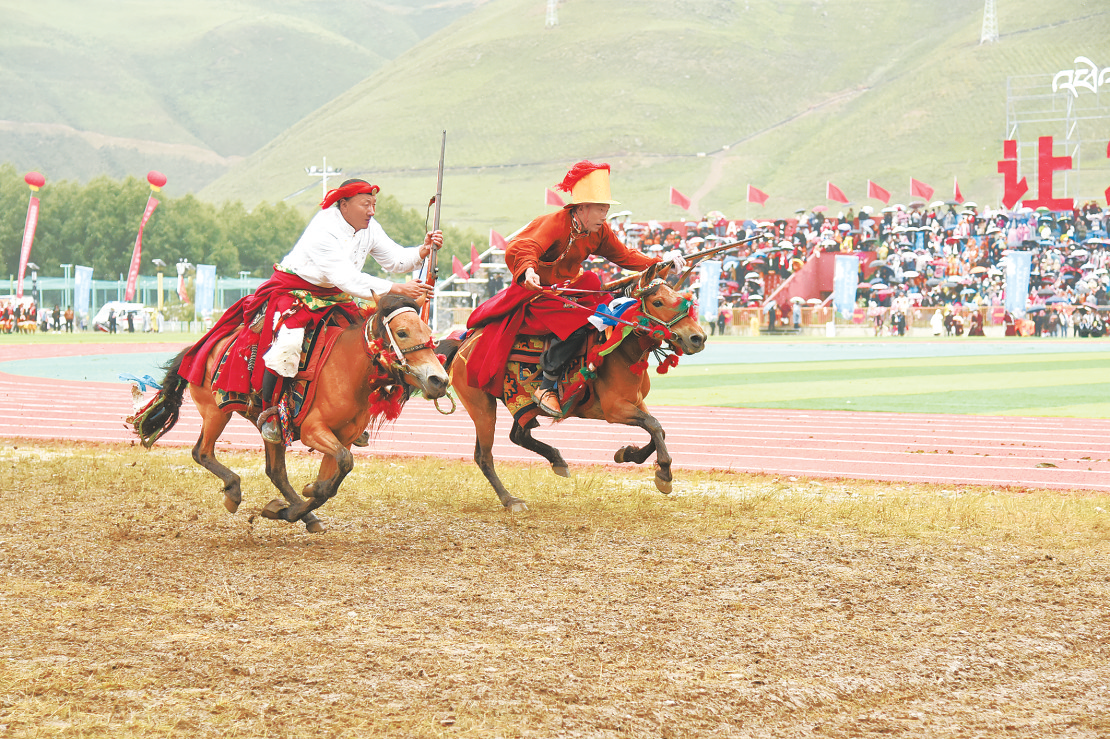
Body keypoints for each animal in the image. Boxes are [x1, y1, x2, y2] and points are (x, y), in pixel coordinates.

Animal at [130, 293, 449, 533]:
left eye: (430, 334)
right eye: (402, 332)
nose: (440, 381)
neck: (347, 367)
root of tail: (200, 348)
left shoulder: (343, 437)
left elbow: (333, 478)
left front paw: (297, 504)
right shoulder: (313, 431)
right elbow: (340, 468)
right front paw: (300, 499)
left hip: (265, 428)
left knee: (276, 471)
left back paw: (303, 514)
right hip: (215, 412)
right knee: (202, 452)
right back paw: (233, 490)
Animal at [442, 264, 707, 512]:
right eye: (658, 302)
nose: (698, 338)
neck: (622, 349)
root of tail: (463, 344)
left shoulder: (637, 402)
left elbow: (658, 429)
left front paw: (628, 453)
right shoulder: (614, 409)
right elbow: (654, 425)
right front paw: (664, 473)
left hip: (522, 404)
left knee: (518, 435)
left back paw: (557, 460)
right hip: (482, 407)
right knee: (484, 456)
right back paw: (510, 499)